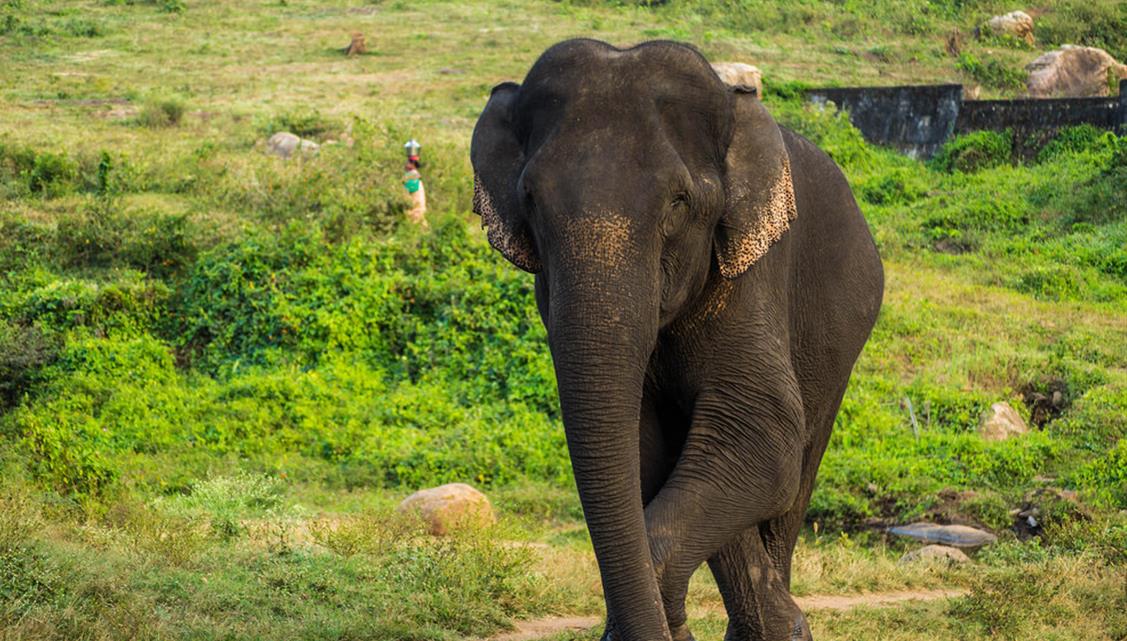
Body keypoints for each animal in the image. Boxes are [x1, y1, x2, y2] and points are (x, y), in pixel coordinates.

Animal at [466, 39, 879, 639]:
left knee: (796, 470)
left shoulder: (750, 272)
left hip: (842, 337)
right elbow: (648, 446)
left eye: (679, 202)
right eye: (529, 198)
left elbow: (762, 431)